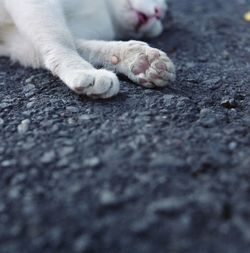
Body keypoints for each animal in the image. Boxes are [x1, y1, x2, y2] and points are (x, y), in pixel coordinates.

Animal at [0, 0, 176, 98]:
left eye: (162, 15)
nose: (159, 12)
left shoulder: (20, 43)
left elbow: (90, 49)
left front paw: (141, 63)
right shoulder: (36, 4)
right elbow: (61, 39)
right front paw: (85, 72)